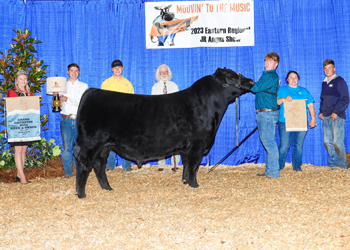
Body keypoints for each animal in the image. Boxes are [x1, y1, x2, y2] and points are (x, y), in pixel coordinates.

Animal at [74, 67, 254, 198]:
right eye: (232, 77)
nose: (251, 81)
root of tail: (91, 92)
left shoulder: (187, 148)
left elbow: (186, 165)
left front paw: (185, 182)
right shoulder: (198, 145)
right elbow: (194, 166)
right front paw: (194, 185)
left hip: (104, 147)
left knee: (99, 165)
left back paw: (107, 188)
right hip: (91, 143)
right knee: (84, 164)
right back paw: (81, 194)